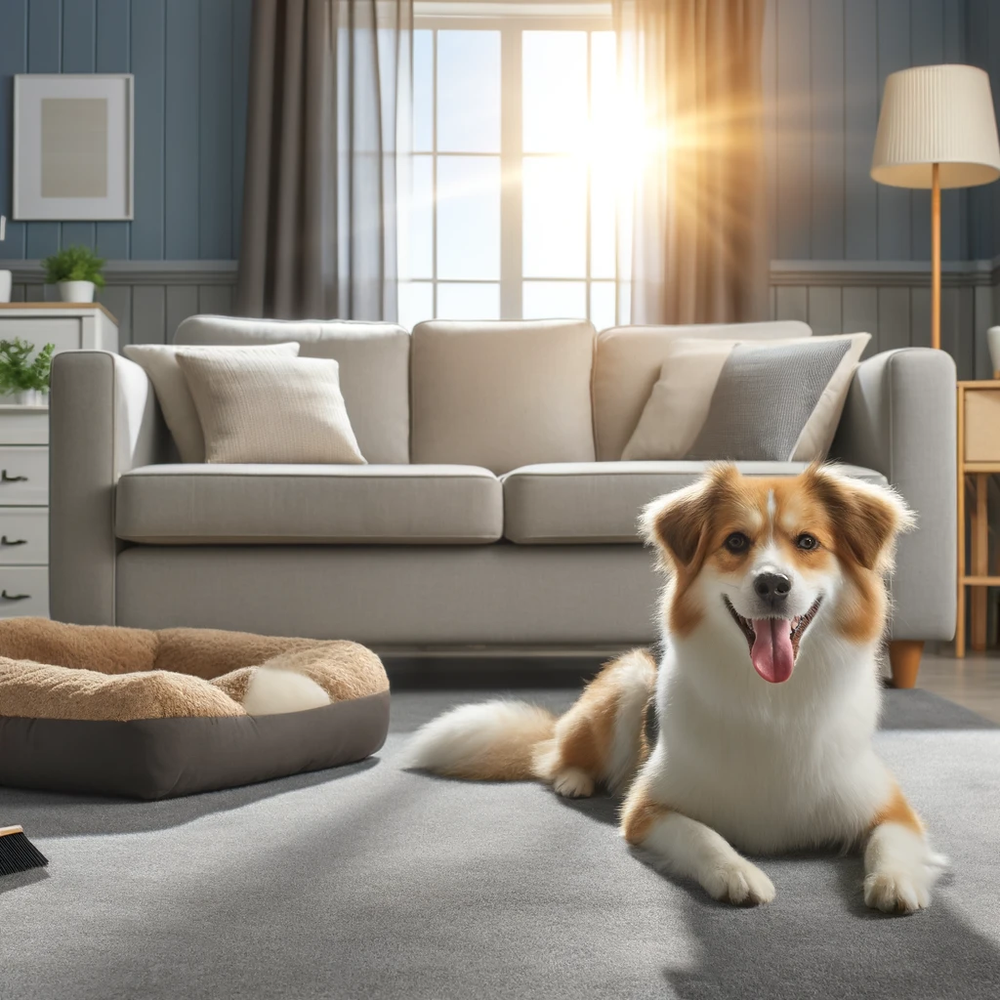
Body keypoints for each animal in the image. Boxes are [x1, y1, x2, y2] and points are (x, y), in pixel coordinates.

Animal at [408, 464, 944, 912]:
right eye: (736, 542)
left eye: (808, 542)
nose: (773, 584)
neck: (773, 699)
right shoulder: (647, 807)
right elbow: (703, 836)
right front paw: (739, 874)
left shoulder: (889, 804)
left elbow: (893, 840)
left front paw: (896, 883)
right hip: (629, 676)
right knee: (555, 755)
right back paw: (574, 779)